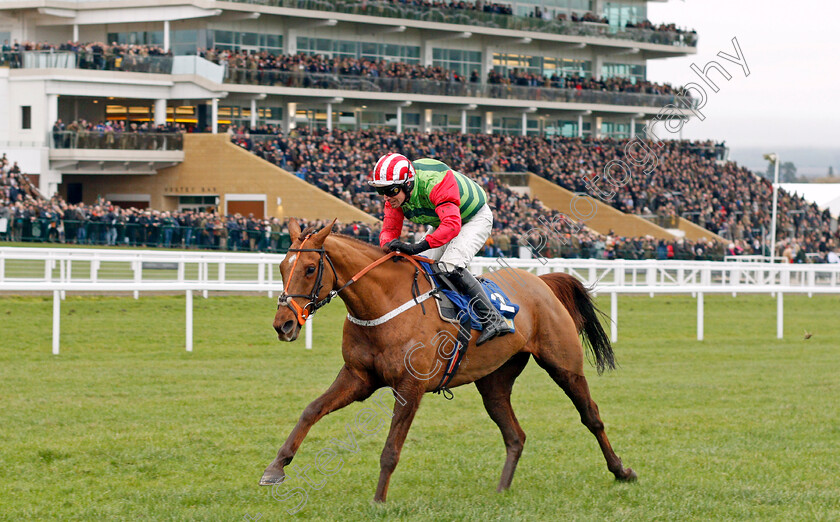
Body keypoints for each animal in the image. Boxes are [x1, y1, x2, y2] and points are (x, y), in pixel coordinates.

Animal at [264, 218, 636, 500]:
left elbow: (390, 449)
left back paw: (622, 471)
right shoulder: (358, 377)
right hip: (495, 381)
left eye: (310, 268)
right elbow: (311, 410)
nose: (283, 324)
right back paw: (501, 491)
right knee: (515, 435)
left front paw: (379, 500)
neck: (383, 304)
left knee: (591, 417)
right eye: (282, 267)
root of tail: (541, 282)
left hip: (564, 365)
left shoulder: (410, 387)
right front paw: (276, 467)